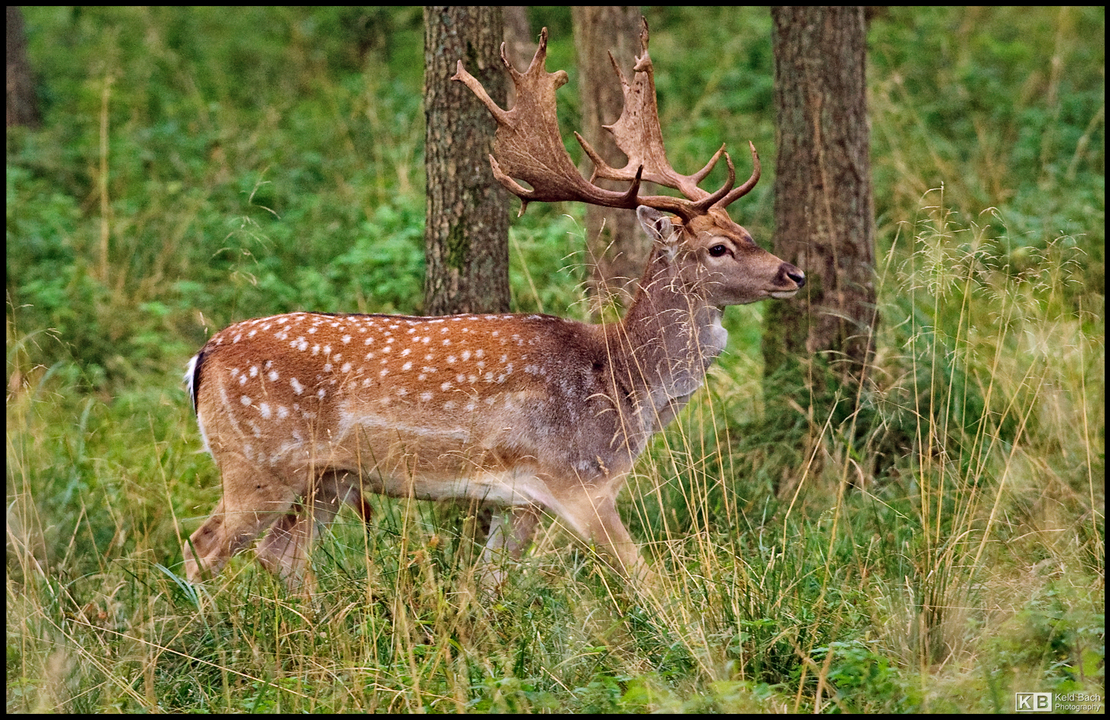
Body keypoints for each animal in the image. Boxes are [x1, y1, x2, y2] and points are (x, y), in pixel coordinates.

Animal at [181, 20, 804, 594]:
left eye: (746, 231)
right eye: (718, 247)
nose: (792, 273)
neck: (622, 388)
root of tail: (201, 359)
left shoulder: (519, 500)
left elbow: (486, 586)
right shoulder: (577, 482)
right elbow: (645, 580)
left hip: (328, 478)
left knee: (279, 555)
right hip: (257, 462)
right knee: (202, 546)